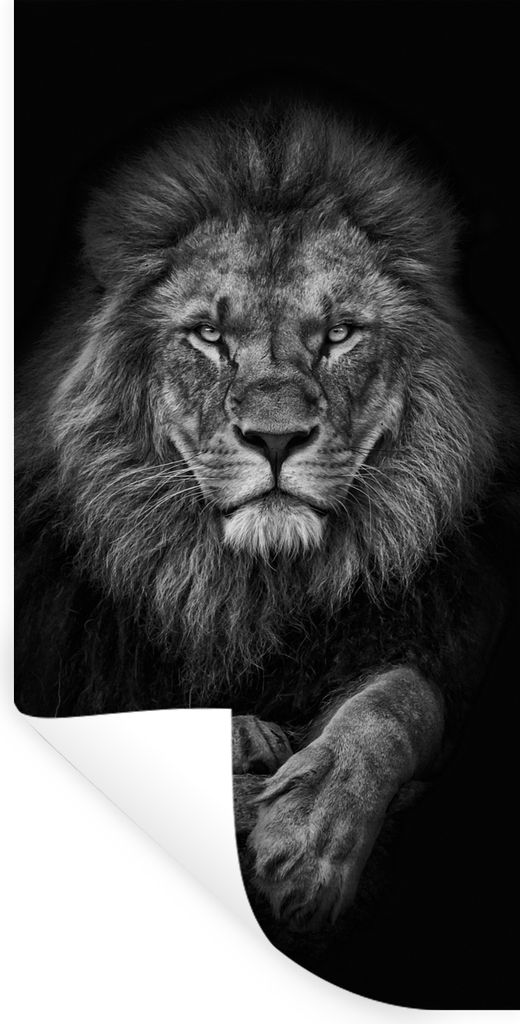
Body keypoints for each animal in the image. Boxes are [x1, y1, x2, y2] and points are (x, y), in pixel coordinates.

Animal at [15, 97, 519, 935]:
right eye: (209, 336)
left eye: (339, 334)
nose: (276, 438)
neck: (256, 589)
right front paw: (244, 751)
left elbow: (399, 699)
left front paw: (310, 839)